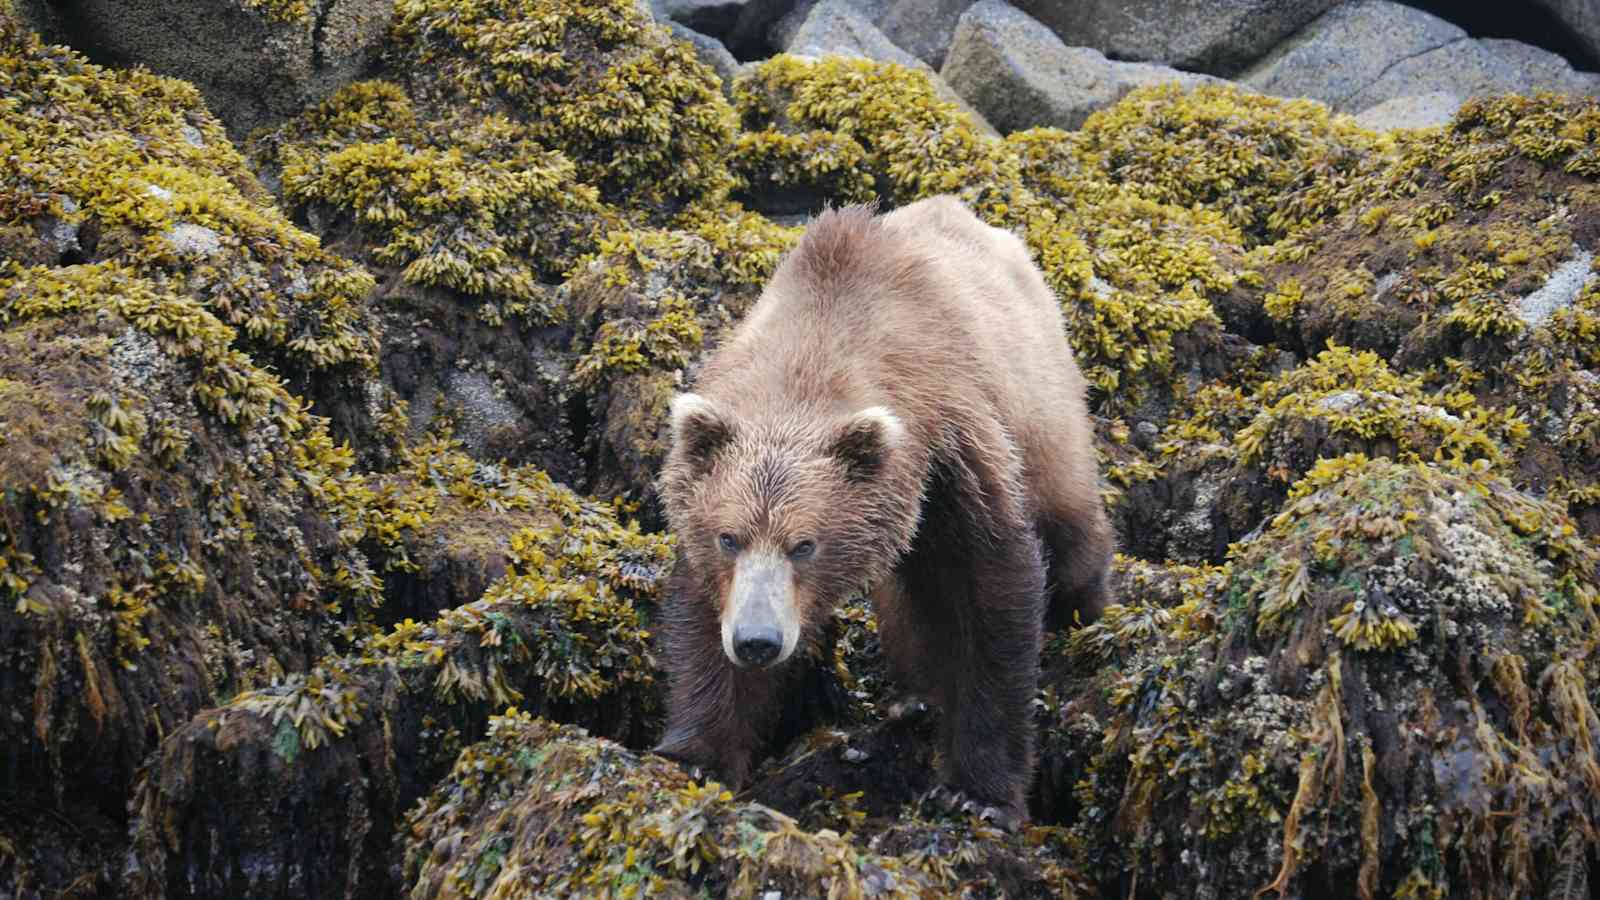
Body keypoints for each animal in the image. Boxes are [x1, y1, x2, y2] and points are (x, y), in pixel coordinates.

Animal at [649, 192, 1113, 826]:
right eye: (729, 537)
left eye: (805, 544)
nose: (757, 640)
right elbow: (701, 617)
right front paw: (697, 754)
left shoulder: (952, 449)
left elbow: (995, 590)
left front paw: (979, 793)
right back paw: (914, 694)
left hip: (1043, 407)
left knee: (1069, 530)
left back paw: (1087, 611)